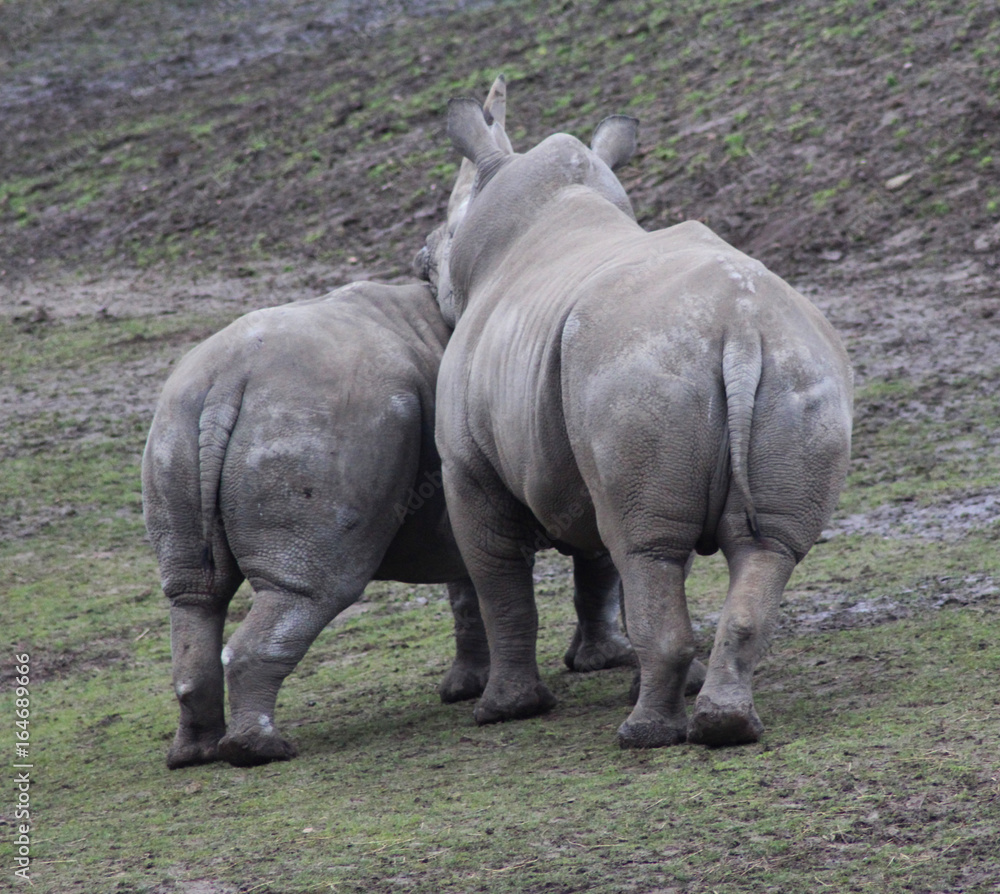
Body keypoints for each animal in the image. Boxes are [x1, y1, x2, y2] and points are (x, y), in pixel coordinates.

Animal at [142, 77, 634, 770]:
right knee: (313, 587)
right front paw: (604, 662)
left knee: (192, 592)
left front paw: (466, 688)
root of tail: (226, 382)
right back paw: (262, 750)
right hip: (324, 417)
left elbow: (467, 589)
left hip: (176, 418)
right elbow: (595, 564)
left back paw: (196, 754)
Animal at [420, 95, 853, 749]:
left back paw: (642, 735)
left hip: (641, 370)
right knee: (756, 547)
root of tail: (741, 326)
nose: (421, 259)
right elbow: (603, 562)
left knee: (646, 548)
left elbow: (500, 579)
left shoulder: (468, 465)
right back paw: (724, 726)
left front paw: (505, 711)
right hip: (795, 370)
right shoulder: (582, 449)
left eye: (440, 240)